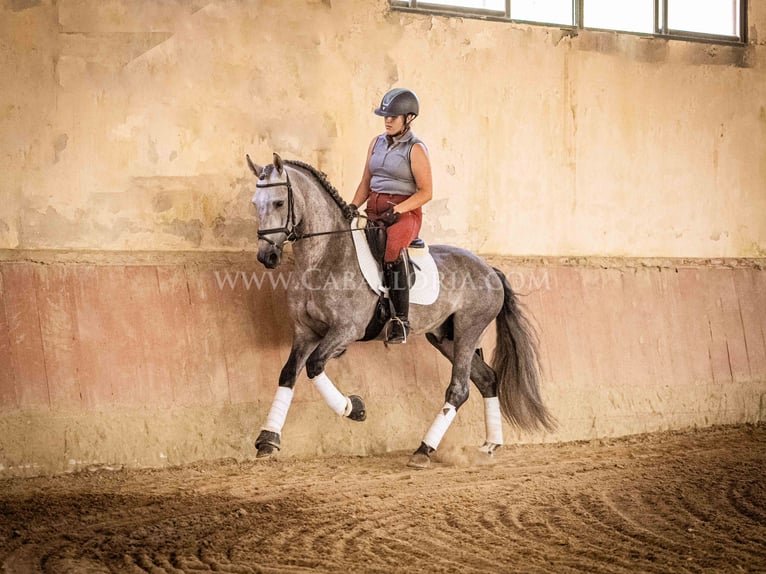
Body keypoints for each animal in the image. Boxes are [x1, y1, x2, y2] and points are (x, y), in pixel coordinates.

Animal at [249, 153, 556, 468]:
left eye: (278, 203)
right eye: (255, 203)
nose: (267, 256)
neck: (324, 256)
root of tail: (490, 270)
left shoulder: (346, 330)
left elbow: (315, 365)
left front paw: (354, 408)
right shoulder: (305, 331)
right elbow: (289, 373)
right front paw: (268, 440)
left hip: (469, 330)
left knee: (459, 388)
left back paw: (424, 450)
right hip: (446, 337)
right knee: (486, 379)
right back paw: (489, 445)